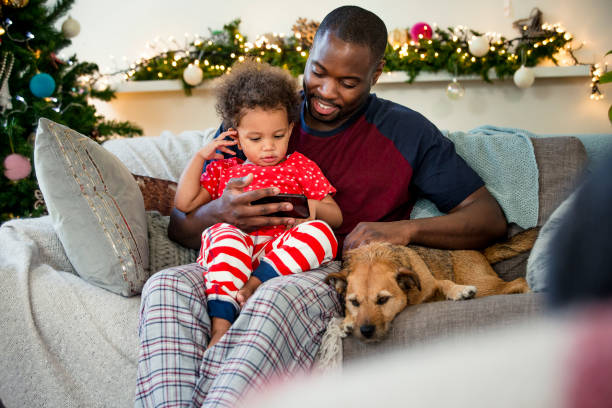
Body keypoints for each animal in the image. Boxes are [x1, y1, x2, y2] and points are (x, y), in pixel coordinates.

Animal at [328, 228, 536, 342]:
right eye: (354, 303)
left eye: (382, 300)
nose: (365, 331)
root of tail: (480, 250)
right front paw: (347, 321)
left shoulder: (431, 284)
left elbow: (444, 283)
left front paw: (459, 290)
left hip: (485, 286)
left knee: (518, 281)